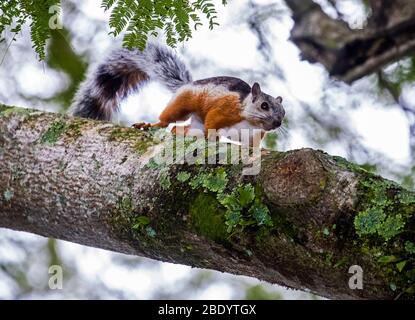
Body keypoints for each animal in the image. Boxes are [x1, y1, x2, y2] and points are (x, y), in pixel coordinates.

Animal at [70, 41, 286, 144]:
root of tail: (186, 85)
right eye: (264, 105)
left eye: (283, 113)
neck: (249, 122)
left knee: (181, 128)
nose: (277, 123)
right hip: (183, 104)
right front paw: (213, 137)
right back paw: (151, 124)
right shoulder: (225, 109)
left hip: (193, 123)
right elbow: (213, 120)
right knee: (168, 120)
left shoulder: (252, 136)